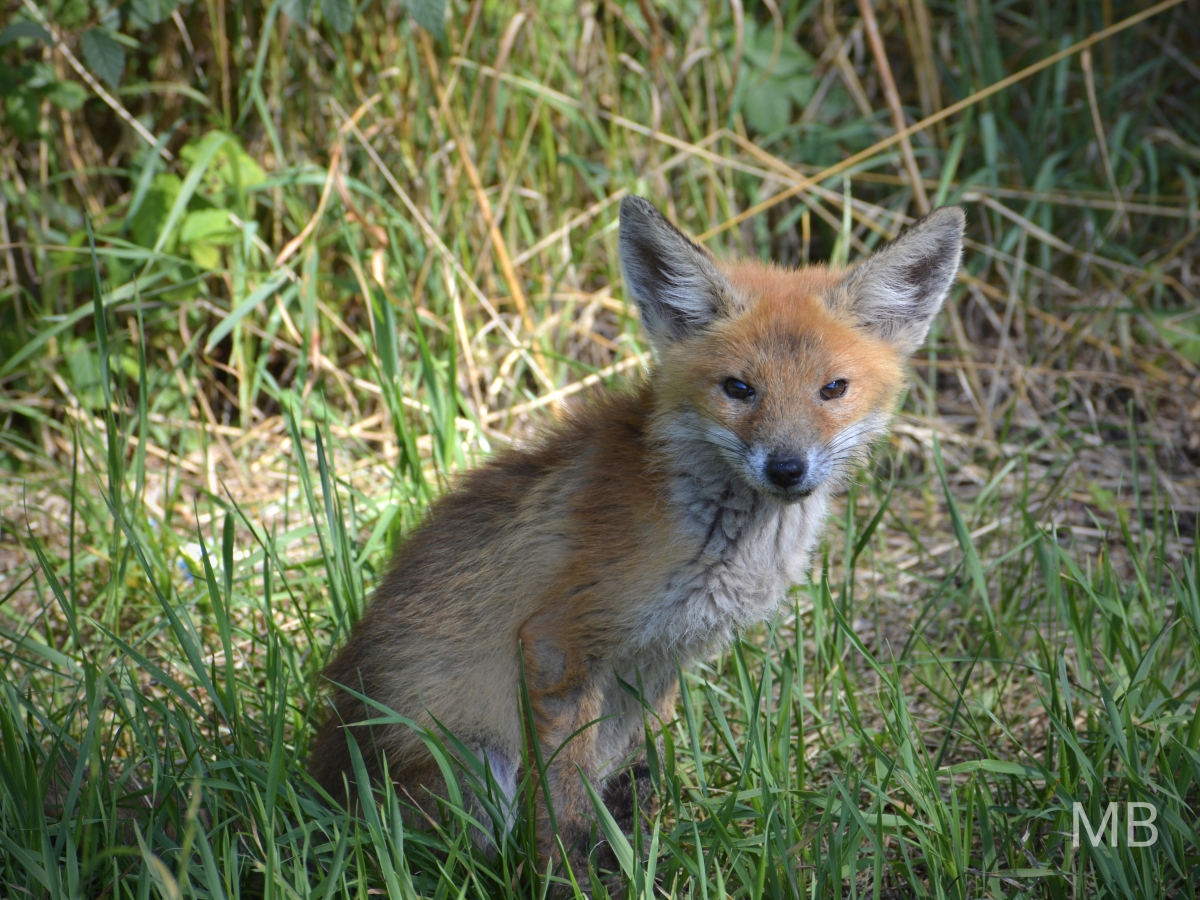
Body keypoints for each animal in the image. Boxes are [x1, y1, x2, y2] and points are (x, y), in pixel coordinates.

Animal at [312, 195, 964, 873]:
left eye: (832, 388)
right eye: (739, 388)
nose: (787, 468)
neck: (713, 537)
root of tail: (321, 784)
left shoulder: (657, 663)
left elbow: (615, 773)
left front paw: (630, 847)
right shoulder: (560, 642)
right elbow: (565, 793)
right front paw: (571, 872)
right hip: (474, 764)